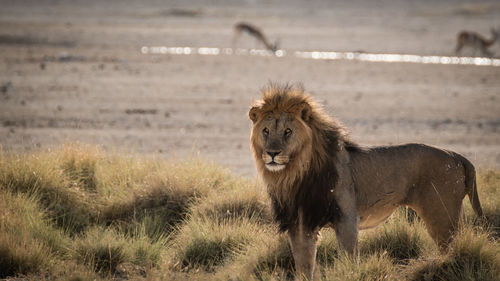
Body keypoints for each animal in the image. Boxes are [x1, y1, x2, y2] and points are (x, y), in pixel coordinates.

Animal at [248, 83, 482, 280]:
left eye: (287, 131)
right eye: (266, 131)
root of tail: (458, 157)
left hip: (441, 216)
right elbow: (304, 266)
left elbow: (349, 260)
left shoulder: (346, 218)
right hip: (453, 214)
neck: (294, 175)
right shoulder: (300, 223)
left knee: (452, 248)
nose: (272, 153)